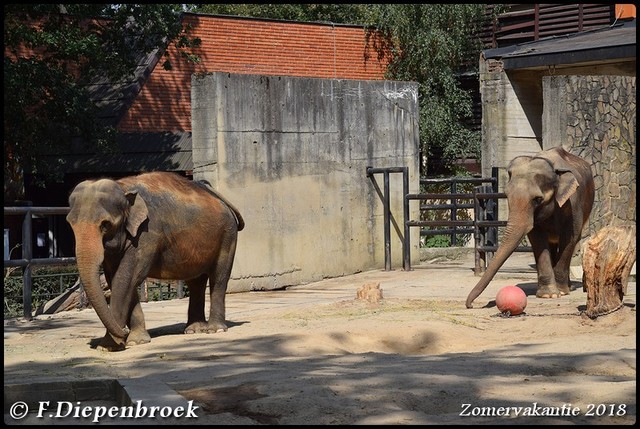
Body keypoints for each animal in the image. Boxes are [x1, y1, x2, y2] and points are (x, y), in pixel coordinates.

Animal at [65, 171, 245, 352]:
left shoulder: (148, 232)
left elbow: (127, 278)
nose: (123, 331)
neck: (123, 187)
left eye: (105, 225)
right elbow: (117, 278)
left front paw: (108, 346)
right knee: (196, 282)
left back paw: (214, 329)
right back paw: (194, 329)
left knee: (219, 277)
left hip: (228, 235)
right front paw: (136, 341)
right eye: (70, 224)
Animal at [464, 147, 596, 308]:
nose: (470, 305)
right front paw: (548, 294)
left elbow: (570, 237)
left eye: (538, 199)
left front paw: (560, 292)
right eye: (507, 195)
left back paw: (567, 287)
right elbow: (537, 238)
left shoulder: (573, 203)